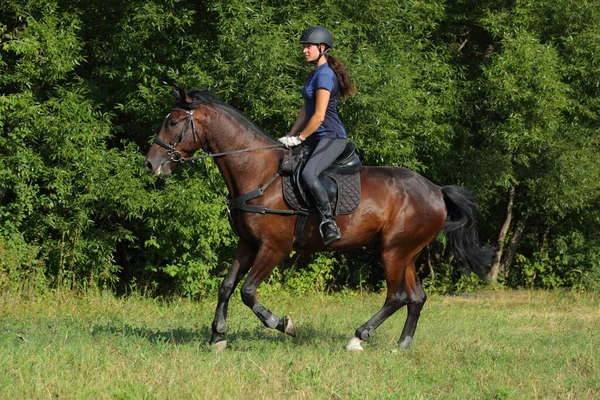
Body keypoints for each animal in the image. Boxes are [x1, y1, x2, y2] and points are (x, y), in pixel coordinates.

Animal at [145, 86, 492, 350]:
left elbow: (247, 291)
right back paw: (402, 345)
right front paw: (217, 336)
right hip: (407, 252)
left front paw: (282, 323)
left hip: (393, 251)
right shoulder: (247, 243)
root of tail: (437, 190)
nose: (150, 164)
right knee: (416, 297)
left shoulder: (274, 247)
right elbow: (227, 286)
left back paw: (359, 338)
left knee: (397, 296)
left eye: (173, 122)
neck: (257, 171)